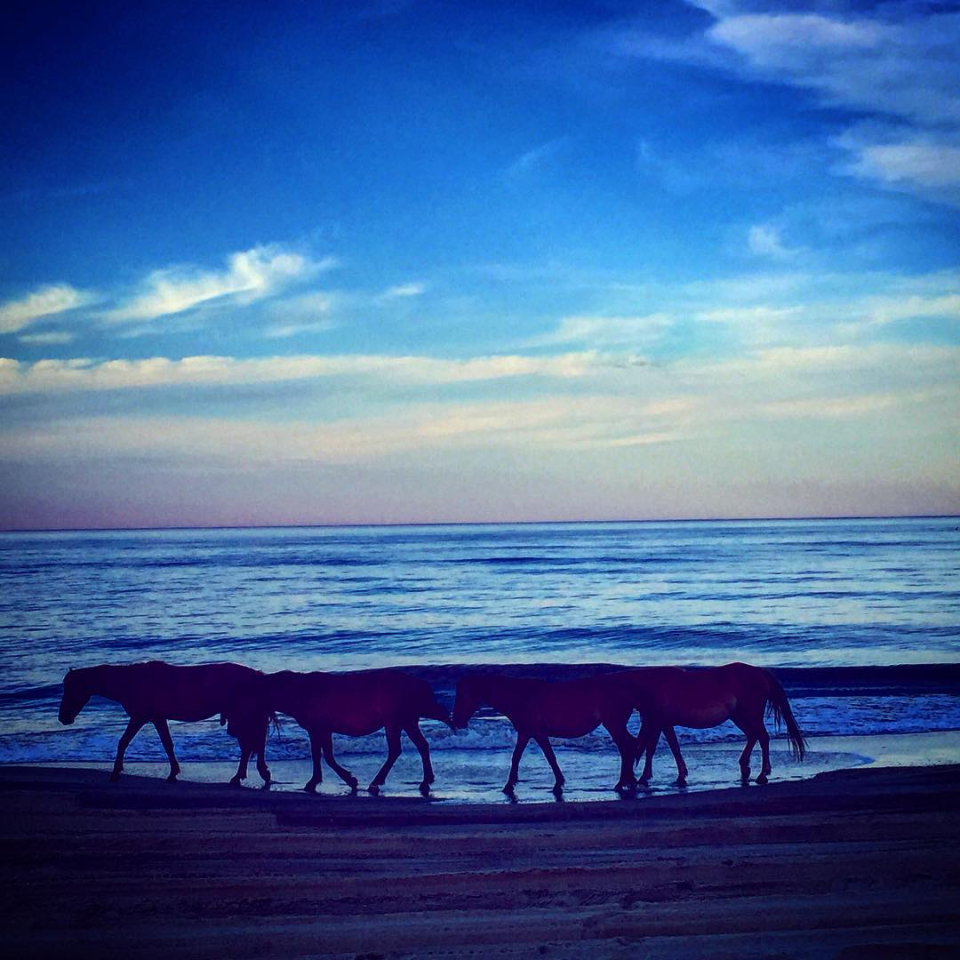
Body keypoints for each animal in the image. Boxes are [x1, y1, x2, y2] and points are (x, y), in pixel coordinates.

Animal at [58, 660, 272, 788]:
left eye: (71, 688)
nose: (63, 718)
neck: (132, 681)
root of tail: (257, 675)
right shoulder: (157, 718)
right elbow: (167, 744)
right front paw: (173, 773)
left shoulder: (140, 717)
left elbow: (124, 742)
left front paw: (116, 772)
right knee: (250, 745)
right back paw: (245, 776)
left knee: (251, 744)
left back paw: (251, 775)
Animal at [251, 668, 454, 796]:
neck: (298, 691)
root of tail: (418, 683)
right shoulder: (320, 730)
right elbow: (321, 755)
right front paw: (319, 780)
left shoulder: (319, 729)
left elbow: (326, 757)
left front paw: (347, 780)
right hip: (407, 721)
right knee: (422, 745)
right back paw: (426, 779)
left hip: (394, 721)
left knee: (396, 750)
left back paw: (376, 782)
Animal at [450, 668, 644, 796]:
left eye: (463, 696)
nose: (457, 722)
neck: (517, 696)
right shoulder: (530, 733)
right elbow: (528, 757)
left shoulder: (533, 733)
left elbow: (539, 757)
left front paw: (510, 785)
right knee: (628, 747)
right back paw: (627, 781)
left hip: (614, 724)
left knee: (627, 747)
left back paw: (623, 782)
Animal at [624, 660, 808, 788]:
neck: (652, 686)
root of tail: (758, 671)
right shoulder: (662, 723)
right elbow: (667, 748)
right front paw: (678, 775)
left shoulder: (659, 722)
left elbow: (657, 748)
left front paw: (646, 777)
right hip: (738, 716)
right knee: (753, 736)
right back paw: (745, 767)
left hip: (750, 714)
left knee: (762, 737)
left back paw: (762, 774)